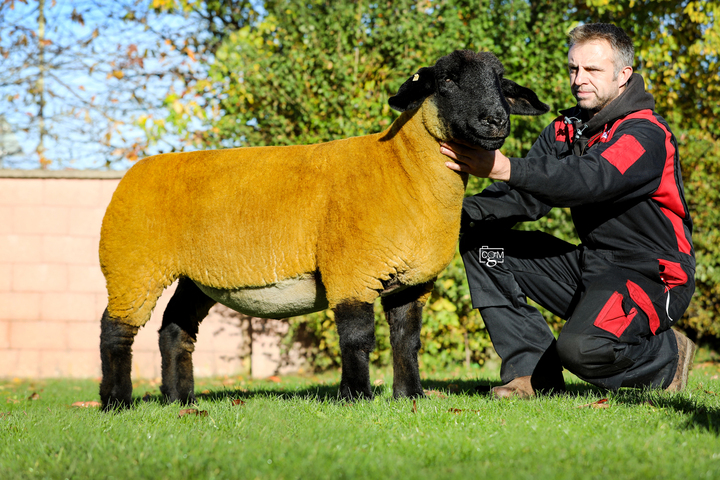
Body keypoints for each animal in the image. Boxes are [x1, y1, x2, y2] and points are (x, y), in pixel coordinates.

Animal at [95, 49, 544, 408]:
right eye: (448, 79)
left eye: (500, 81)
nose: (496, 121)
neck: (402, 169)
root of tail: (136, 170)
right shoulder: (352, 269)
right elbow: (358, 337)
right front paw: (356, 396)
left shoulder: (413, 281)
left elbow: (407, 339)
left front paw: (410, 396)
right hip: (132, 264)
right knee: (115, 330)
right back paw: (117, 402)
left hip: (194, 276)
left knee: (174, 329)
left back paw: (179, 399)